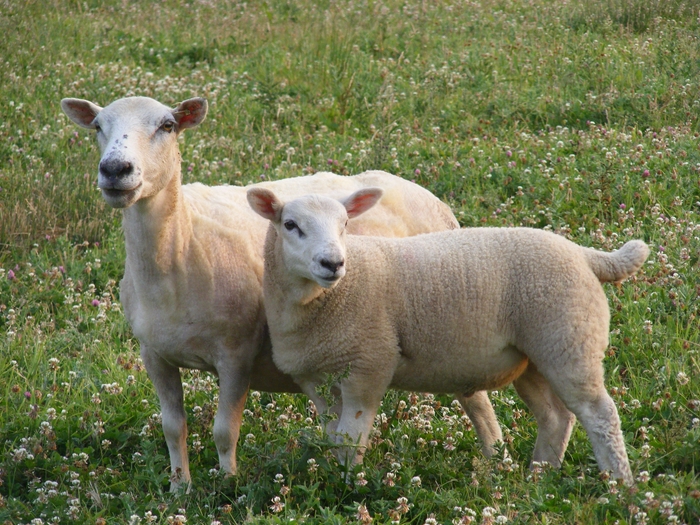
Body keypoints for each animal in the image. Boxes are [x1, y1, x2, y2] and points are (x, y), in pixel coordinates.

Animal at [59, 95, 500, 492]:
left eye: (167, 125)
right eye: (98, 127)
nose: (115, 170)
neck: (181, 246)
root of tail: (432, 198)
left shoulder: (236, 353)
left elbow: (224, 430)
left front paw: (227, 487)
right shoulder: (154, 354)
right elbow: (172, 428)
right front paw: (179, 490)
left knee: (478, 403)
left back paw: (498, 464)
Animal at [248, 187, 650, 485]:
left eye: (346, 224)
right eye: (290, 224)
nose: (333, 263)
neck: (325, 299)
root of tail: (584, 254)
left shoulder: (369, 365)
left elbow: (352, 438)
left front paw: (348, 487)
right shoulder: (316, 379)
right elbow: (334, 436)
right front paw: (334, 477)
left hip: (570, 340)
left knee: (599, 413)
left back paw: (620, 484)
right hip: (535, 357)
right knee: (555, 417)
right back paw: (540, 476)